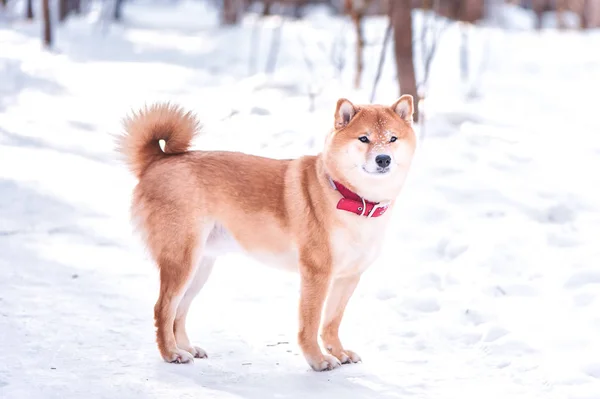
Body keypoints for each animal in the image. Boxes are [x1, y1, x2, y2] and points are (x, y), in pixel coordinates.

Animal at [117, 97, 418, 372]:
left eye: (392, 138)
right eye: (364, 138)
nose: (383, 158)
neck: (353, 199)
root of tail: (157, 161)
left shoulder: (348, 277)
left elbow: (331, 322)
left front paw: (339, 352)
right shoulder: (317, 274)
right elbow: (310, 324)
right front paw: (318, 360)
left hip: (199, 268)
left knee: (178, 312)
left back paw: (185, 347)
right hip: (182, 261)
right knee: (163, 309)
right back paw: (171, 353)